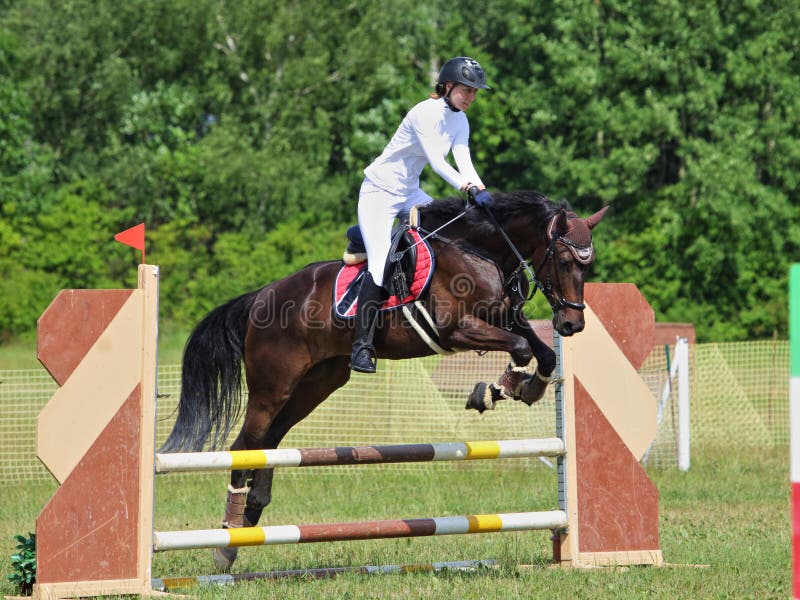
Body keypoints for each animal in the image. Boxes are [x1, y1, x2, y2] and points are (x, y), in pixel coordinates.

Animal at [161, 190, 608, 568]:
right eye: (565, 261)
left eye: (587, 265)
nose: (572, 324)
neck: (479, 250)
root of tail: (260, 297)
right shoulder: (457, 330)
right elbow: (520, 348)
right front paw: (493, 391)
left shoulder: (504, 316)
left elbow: (541, 351)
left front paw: (519, 388)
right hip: (273, 386)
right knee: (245, 446)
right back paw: (226, 545)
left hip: (316, 383)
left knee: (269, 440)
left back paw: (254, 510)